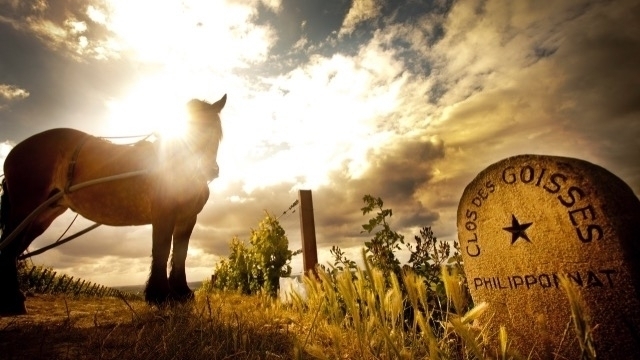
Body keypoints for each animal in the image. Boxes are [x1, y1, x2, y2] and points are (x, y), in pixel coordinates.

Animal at [0, 93, 226, 316]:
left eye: (216, 132)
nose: (209, 171)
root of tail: (14, 151)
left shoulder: (187, 217)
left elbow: (181, 253)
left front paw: (182, 293)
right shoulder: (163, 213)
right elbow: (161, 249)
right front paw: (161, 295)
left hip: (43, 215)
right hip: (25, 208)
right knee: (9, 246)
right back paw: (13, 301)